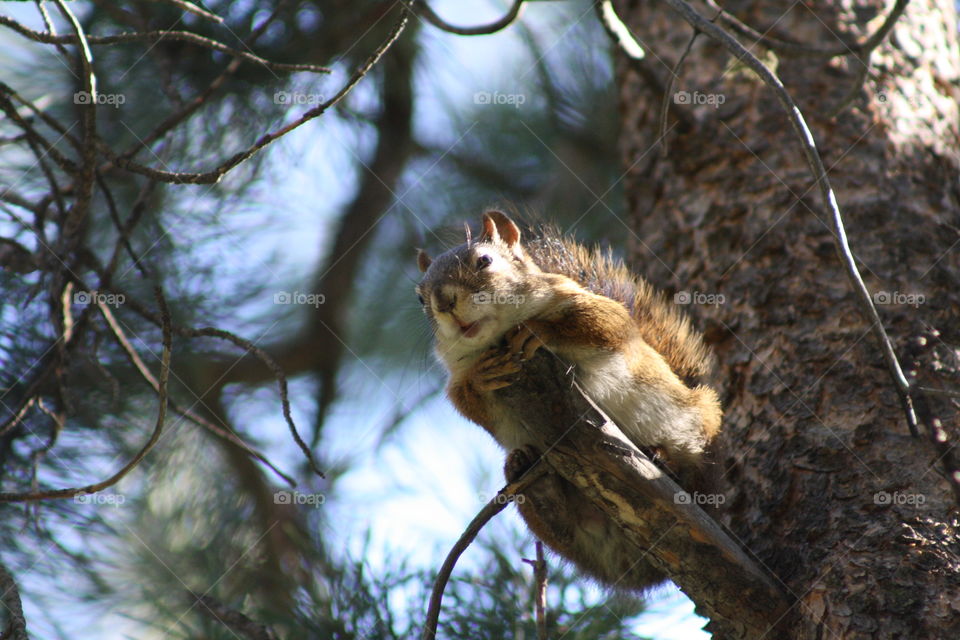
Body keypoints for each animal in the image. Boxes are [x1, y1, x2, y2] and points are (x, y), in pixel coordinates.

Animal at [416, 212, 724, 592]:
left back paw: (665, 458)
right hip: (558, 524)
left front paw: (538, 331)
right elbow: (466, 398)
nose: (444, 302)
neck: (497, 337)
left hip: (691, 426)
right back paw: (532, 478)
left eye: (484, 261)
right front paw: (483, 376)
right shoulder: (457, 373)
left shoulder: (589, 306)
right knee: (563, 528)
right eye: (420, 297)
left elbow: (604, 326)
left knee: (695, 467)